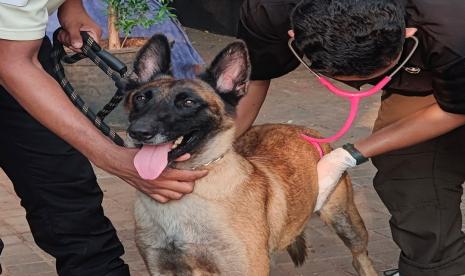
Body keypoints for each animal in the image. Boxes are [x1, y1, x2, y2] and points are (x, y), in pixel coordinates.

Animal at [124, 33, 376, 274]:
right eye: (140, 98)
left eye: (188, 102)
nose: (139, 132)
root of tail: (303, 129)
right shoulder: (162, 268)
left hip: (347, 224)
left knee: (360, 259)